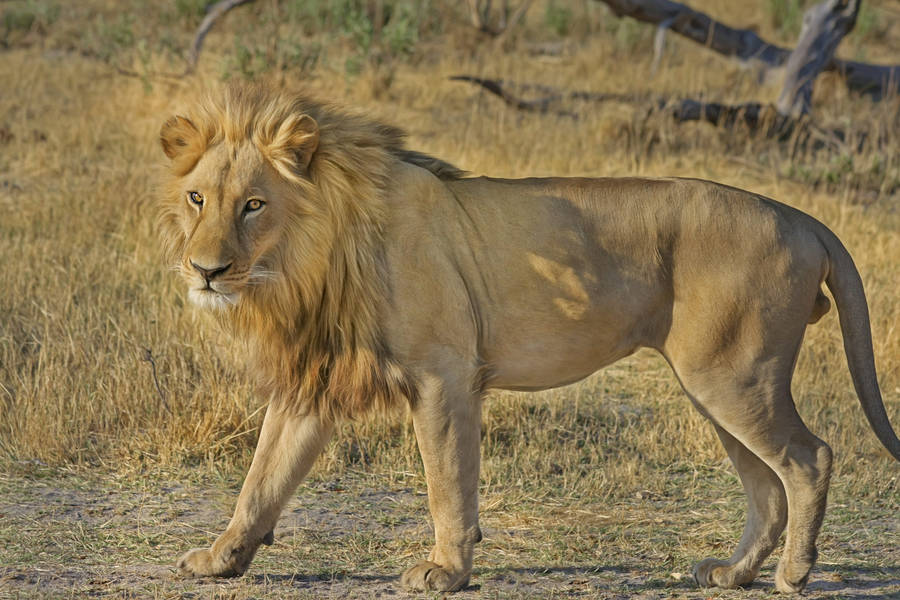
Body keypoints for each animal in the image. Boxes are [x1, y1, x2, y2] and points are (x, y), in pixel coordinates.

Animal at [158, 84, 900, 594]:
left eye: (254, 204)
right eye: (198, 199)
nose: (205, 270)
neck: (309, 261)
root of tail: (801, 216)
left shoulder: (444, 374)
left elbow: (447, 483)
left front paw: (445, 571)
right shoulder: (313, 382)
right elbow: (261, 480)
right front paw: (221, 559)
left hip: (732, 376)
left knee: (809, 459)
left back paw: (794, 576)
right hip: (715, 384)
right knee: (766, 487)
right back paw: (733, 573)